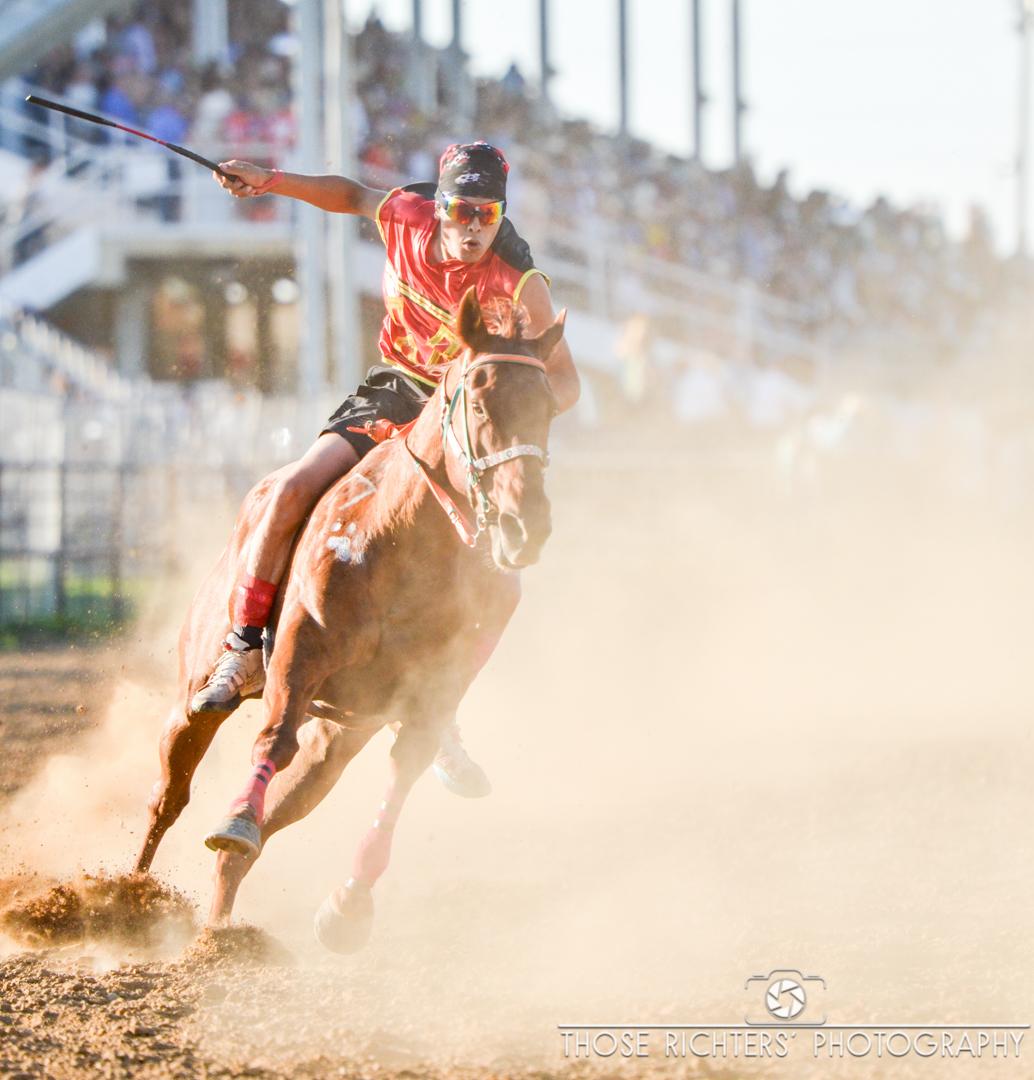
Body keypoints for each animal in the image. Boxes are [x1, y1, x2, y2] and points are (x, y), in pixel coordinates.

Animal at [133, 289, 570, 954]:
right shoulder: (299, 656)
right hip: (194, 697)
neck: (406, 542)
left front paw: (348, 905)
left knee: (256, 837)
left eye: (547, 407)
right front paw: (236, 816)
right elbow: (272, 738)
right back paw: (126, 895)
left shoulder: (428, 698)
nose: (527, 526)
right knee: (170, 795)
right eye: (479, 401)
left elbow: (402, 775)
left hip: (334, 744)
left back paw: (219, 936)